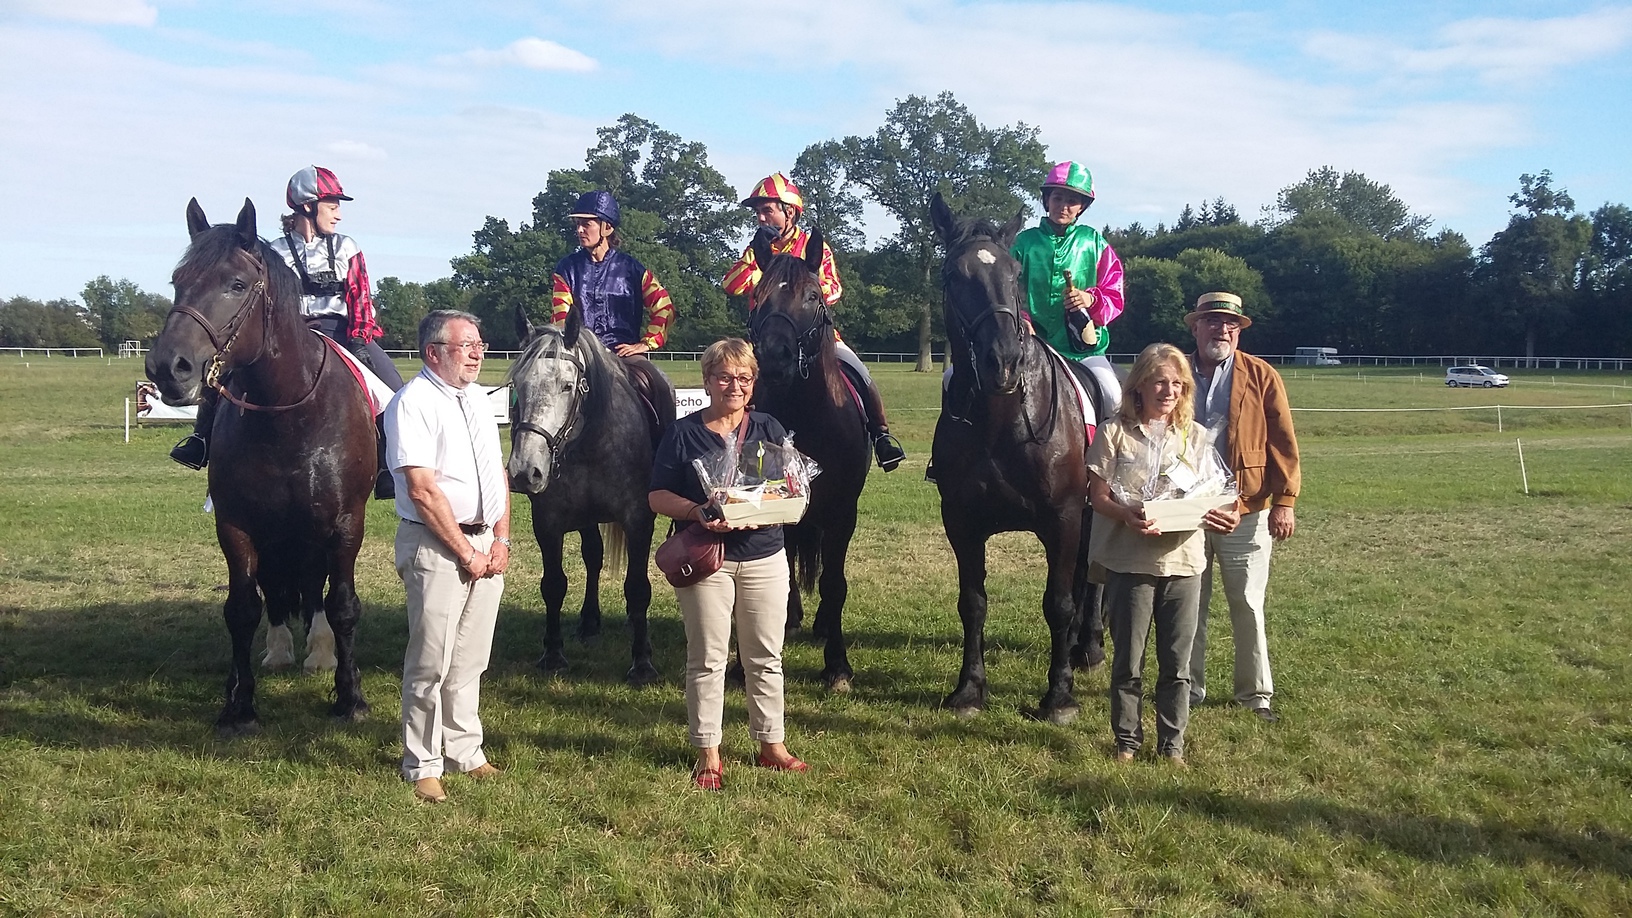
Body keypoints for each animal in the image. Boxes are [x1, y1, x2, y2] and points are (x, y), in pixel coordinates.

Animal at [146, 196, 373, 731]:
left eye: (236, 284)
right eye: (178, 280)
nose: (167, 367)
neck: (288, 413)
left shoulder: (345, 522)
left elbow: (342, 605)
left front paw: (349, 697)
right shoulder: (238, 524)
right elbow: (242, 608)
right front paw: (239, 704)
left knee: (313, 584)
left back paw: (319, 650)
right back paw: (282, 649)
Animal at [747, 227, 874, 686]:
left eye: (813, 296)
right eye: (759, 296)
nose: (774, 357)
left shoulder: (841, 512)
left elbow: (835, 583)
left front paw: (837, 665)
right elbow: (778, 573)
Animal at [926, 192, 1103, 721]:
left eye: (1014, 273)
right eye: (952, 275)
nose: (1002, 361)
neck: (1002, 422)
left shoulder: (1063, 518)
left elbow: (1058, 603)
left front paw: (1059, 695)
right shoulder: (962, 522)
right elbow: (973, 602)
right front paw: (969, 688)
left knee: (1090, 583)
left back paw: (1088, 647)